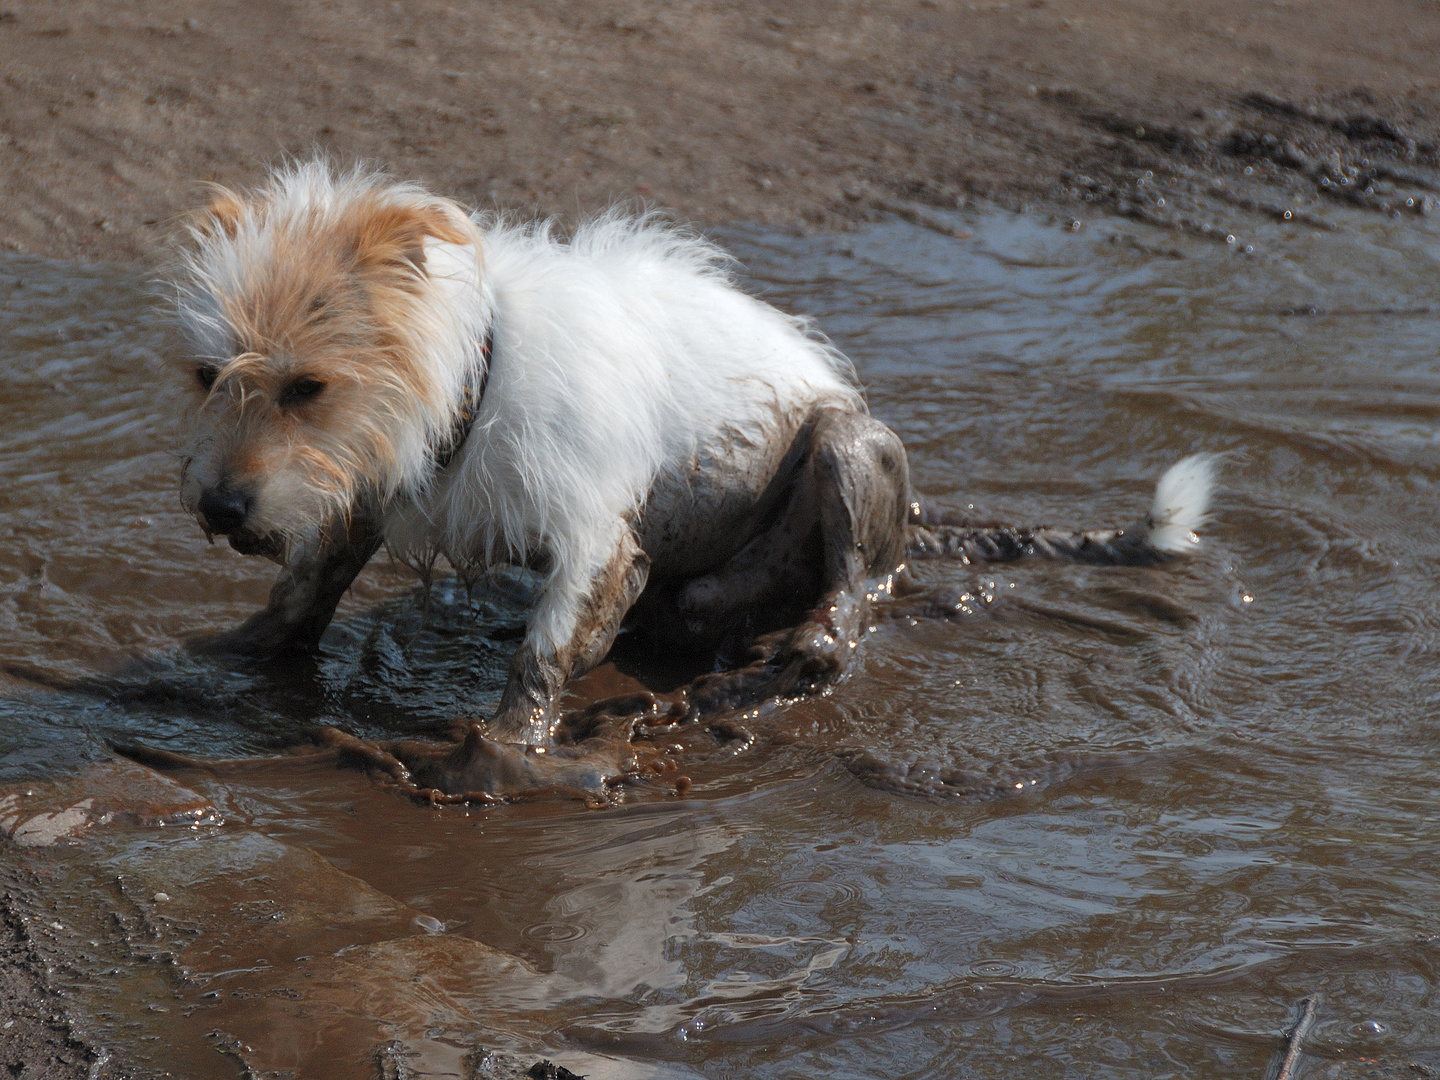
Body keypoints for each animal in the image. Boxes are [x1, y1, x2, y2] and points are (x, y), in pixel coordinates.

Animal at [171, 162, 1215, 806]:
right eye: (206, 374)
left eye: (308, 387)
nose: (220, 509)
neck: (478, 374)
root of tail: (918, 524)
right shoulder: (370, 483)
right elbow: (303, 591)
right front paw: (225, 661)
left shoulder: (599, 540)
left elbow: (542, 657)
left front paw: (504, 759)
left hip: (845, 448)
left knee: (847, 610)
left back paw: (781, 660)